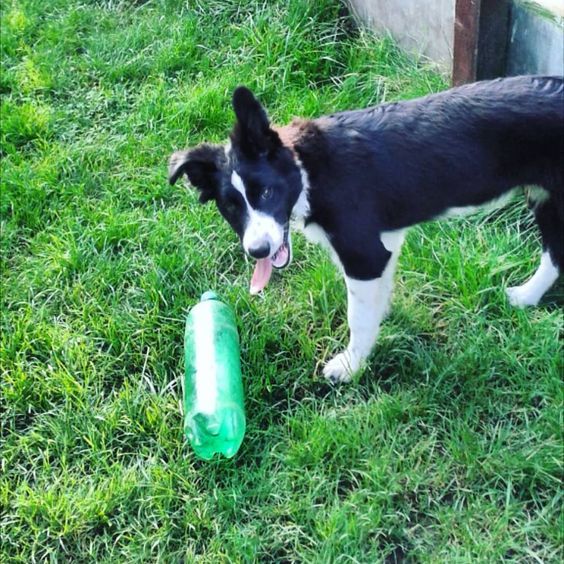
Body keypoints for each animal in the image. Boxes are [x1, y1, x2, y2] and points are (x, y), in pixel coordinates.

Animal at [169, 75, 564, 384]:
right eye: (231, 207)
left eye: (265, 192)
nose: (257, 251)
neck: (309, 171)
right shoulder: (384, 243)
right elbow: (374, 302)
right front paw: (378, 327)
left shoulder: (363, 254)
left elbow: (356, 317)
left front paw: (350, 366)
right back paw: (526, 297)